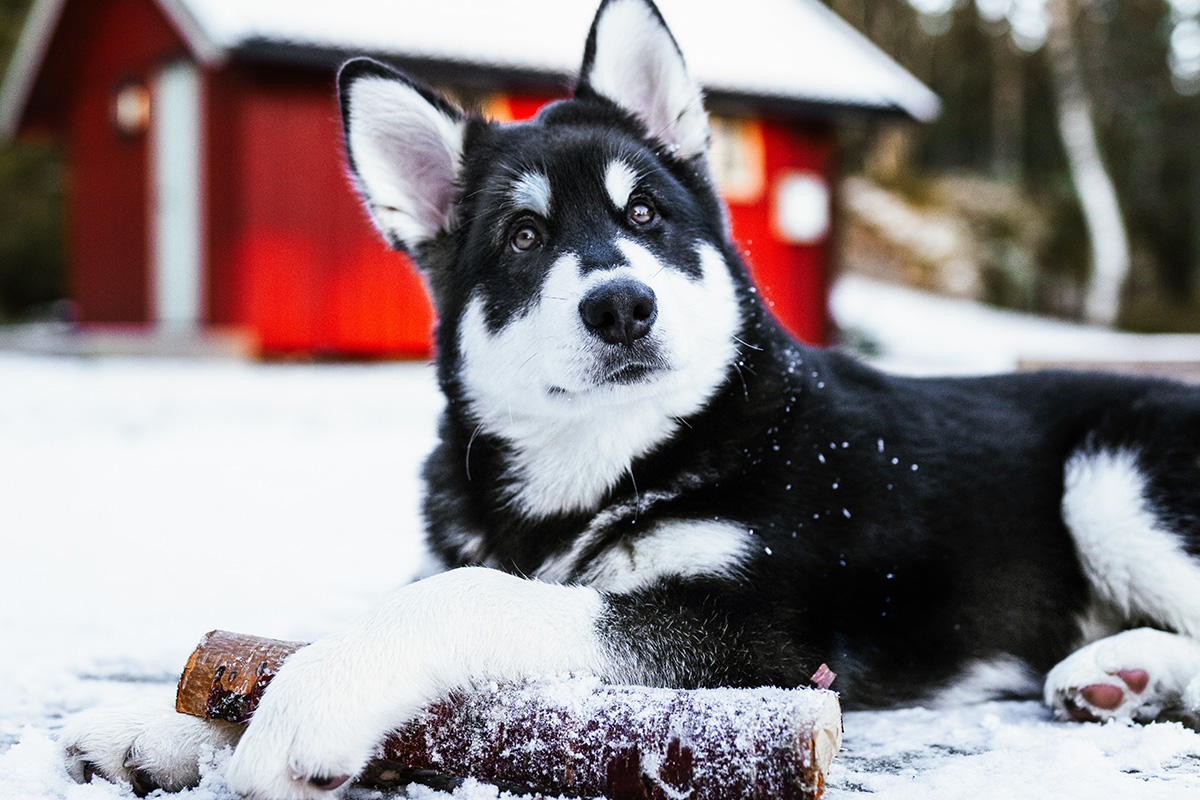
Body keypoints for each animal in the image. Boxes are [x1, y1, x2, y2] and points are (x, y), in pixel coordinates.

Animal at [60, 1, 1200, 800]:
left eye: (645, 215)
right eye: (523, 236)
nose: (620, 303)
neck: (603, 465)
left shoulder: (754, 638)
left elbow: (476, 596)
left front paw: (307, 707)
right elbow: (305, 633)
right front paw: (163, 726)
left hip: (1116, 476)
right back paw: (1122, 673)